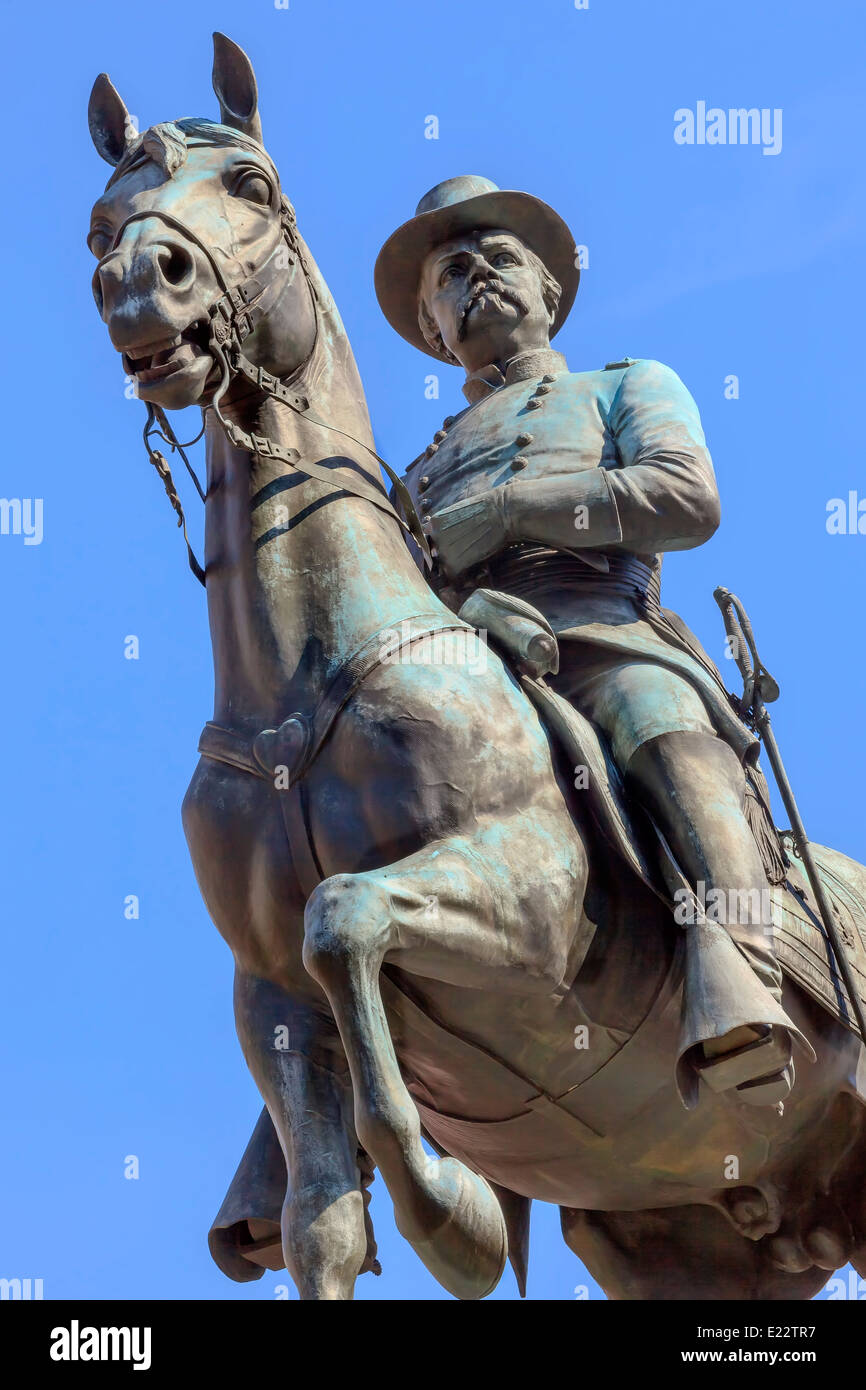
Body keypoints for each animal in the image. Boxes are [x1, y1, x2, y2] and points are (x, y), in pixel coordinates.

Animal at [88, 32, 866, 1295]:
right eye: (99, 222)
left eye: (250, 184)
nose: (137, 282)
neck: (298, 698)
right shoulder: (270, 997)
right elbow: (315, 1217)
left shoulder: (531, 905)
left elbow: (344, 915)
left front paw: (452, 1211)